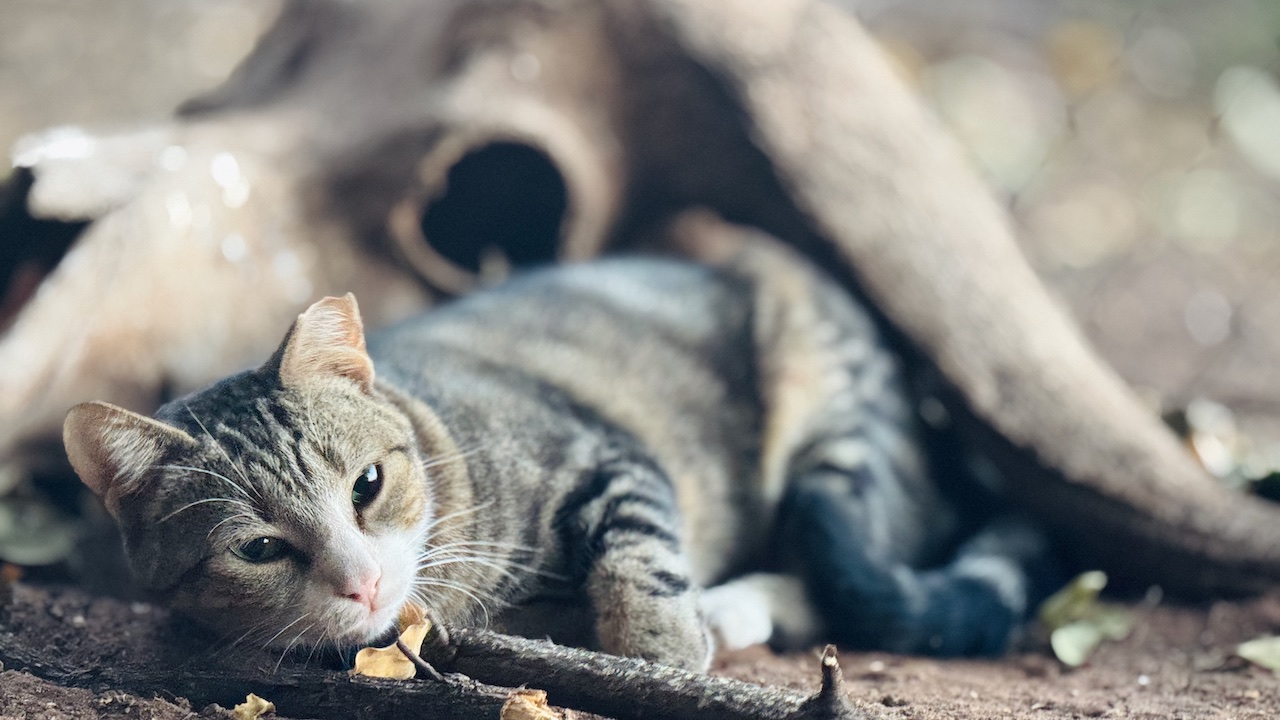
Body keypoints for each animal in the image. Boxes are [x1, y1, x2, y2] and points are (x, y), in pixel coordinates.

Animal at [62, 228, 1059, 666]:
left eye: (368, 485)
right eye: (259, 550)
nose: (364, 583)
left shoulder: (605, 454)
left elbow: (639, 559)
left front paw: (662, 649)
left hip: (832, 412)